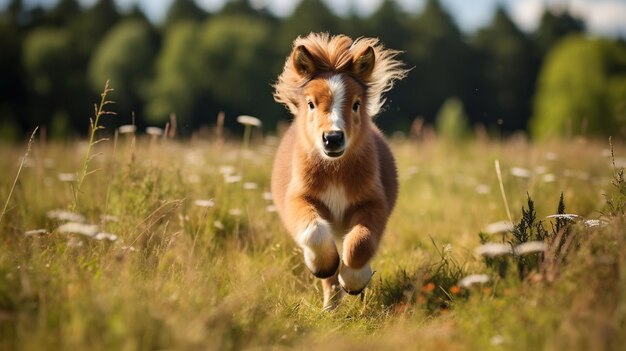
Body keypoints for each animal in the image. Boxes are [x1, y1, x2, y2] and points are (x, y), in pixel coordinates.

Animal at [270, 31, 408, 310]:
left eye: (356, 104)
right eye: (311, 104)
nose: (332, 138)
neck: (334, 170)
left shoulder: (373, 202)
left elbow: (360, 243)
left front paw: (355, 280)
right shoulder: (299, 197)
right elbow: (314, 232)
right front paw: (322, 265)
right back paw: (330, 306)